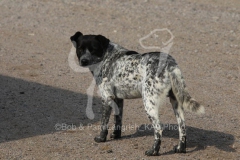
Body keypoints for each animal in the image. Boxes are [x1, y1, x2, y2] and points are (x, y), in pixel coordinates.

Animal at [70, 31, 204, 156]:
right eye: (80, 49)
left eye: (93, 49)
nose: (84, 61)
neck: (107, 56)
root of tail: (170, 65)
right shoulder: (118, 99)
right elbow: (118, 120)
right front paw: (116, 135)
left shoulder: (106, 98)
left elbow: (104, 123)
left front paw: (101, 138)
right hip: (176, 103)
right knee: (182, 128)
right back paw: (180, 149)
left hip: (149, 104)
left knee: (159, 130)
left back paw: (153, 151)